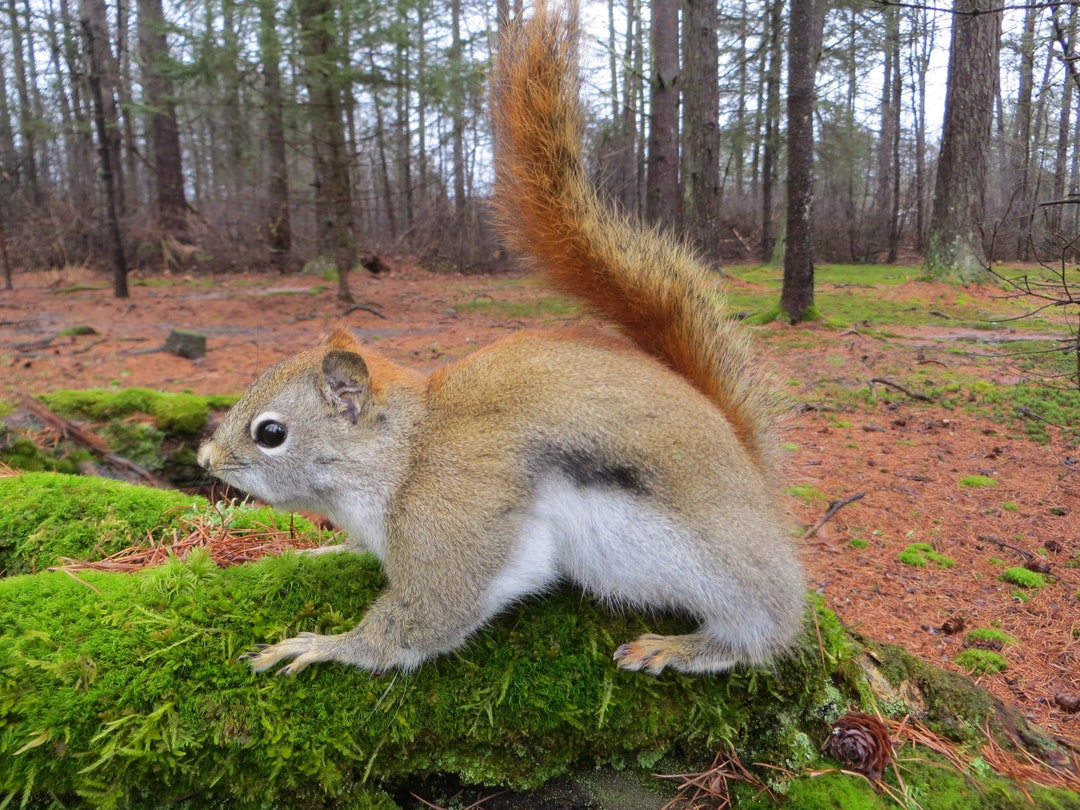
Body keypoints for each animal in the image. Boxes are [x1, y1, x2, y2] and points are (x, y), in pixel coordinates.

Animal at [197, 0, 804, 677]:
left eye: (270, 434)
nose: (205, 460)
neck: (406, 454)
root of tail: (753, 475)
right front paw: (321, 553)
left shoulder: (454, 517)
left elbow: (427, 617)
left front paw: (325, 646)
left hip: (719, 564)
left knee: (765, 624)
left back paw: (682, 646)